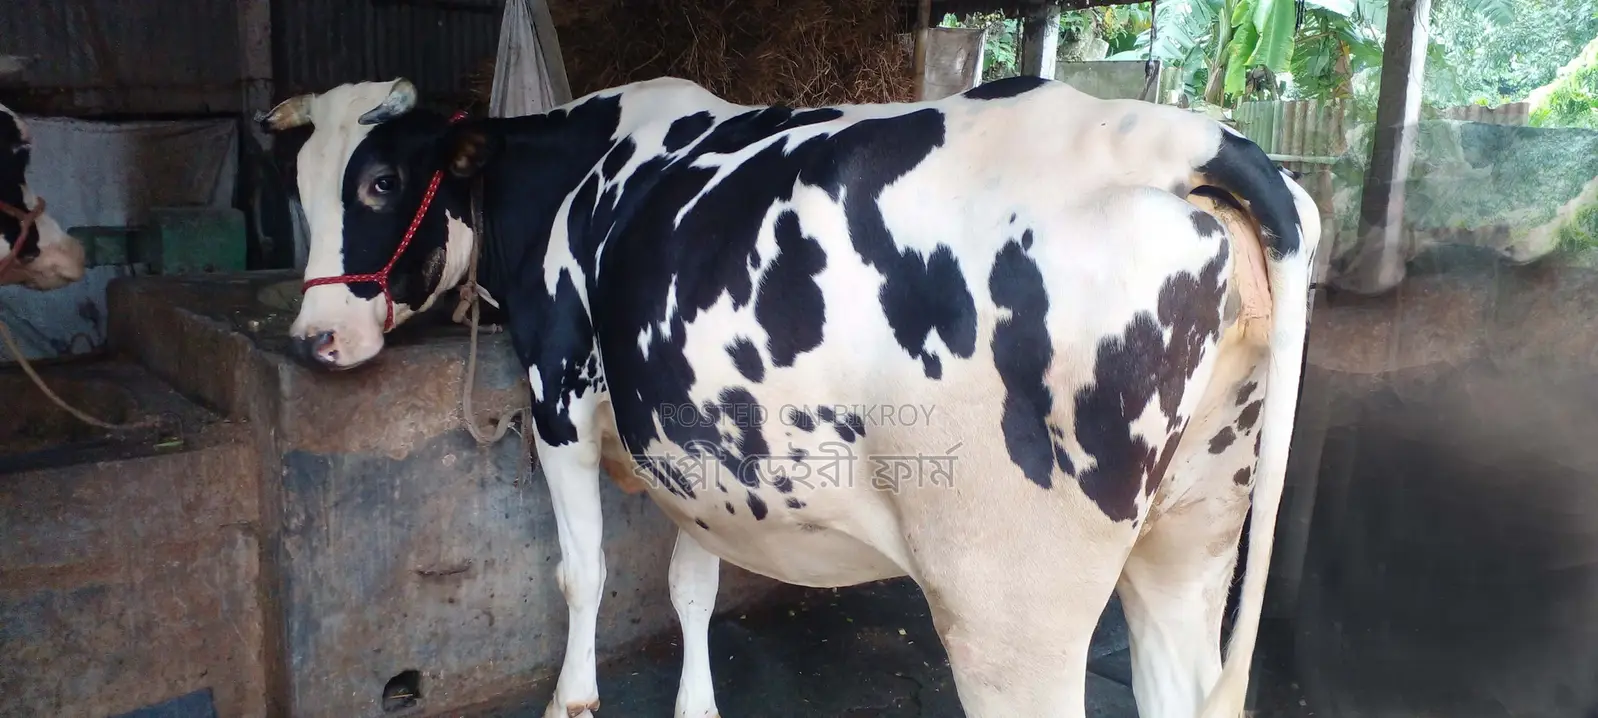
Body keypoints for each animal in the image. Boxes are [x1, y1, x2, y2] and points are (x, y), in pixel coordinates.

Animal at [259, 74, 1321, 718]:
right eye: (297, 190)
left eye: (382, 182)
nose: (314, 337)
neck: (571, 174)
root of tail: (1172, 134)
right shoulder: (693, 442)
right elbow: (692, 584)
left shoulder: (559, 397)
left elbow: (582, 572)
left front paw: (572, 698)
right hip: (1193, 531)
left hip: (1012, 607)